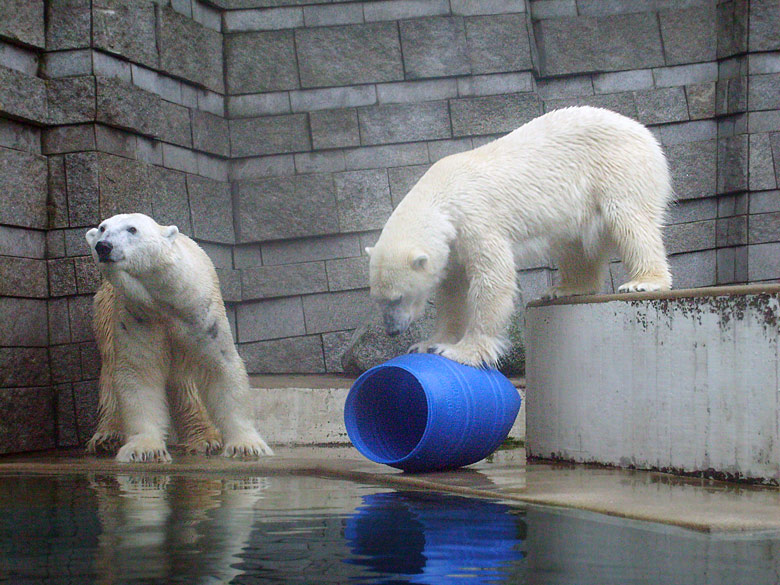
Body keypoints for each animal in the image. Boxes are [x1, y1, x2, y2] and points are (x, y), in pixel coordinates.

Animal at [85, 212, 272, 464]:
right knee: (110, 370)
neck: (163, 298)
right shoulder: (136, 317)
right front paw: (144, 449)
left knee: (185, 381)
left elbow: (221, 367)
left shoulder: (199, 314)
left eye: (132, 229)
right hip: (105, 313)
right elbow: (139, 373)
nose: (103, 246)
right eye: (102, 228)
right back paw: (107, 437)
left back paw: (205, 438)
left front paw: (246, 445)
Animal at [368, 107, 672, 368]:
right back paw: (566, 288)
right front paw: (428, 344)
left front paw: (460, 351)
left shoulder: (476, 220)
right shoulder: (452, 247)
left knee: (631, 222)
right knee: (575, 246)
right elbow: (453, 292)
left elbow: (492, 278)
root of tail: (642, 130)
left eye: (397, 298)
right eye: (378, 299)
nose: (392, 331)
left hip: (618, 168)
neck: (442, 194)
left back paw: (643, 282)